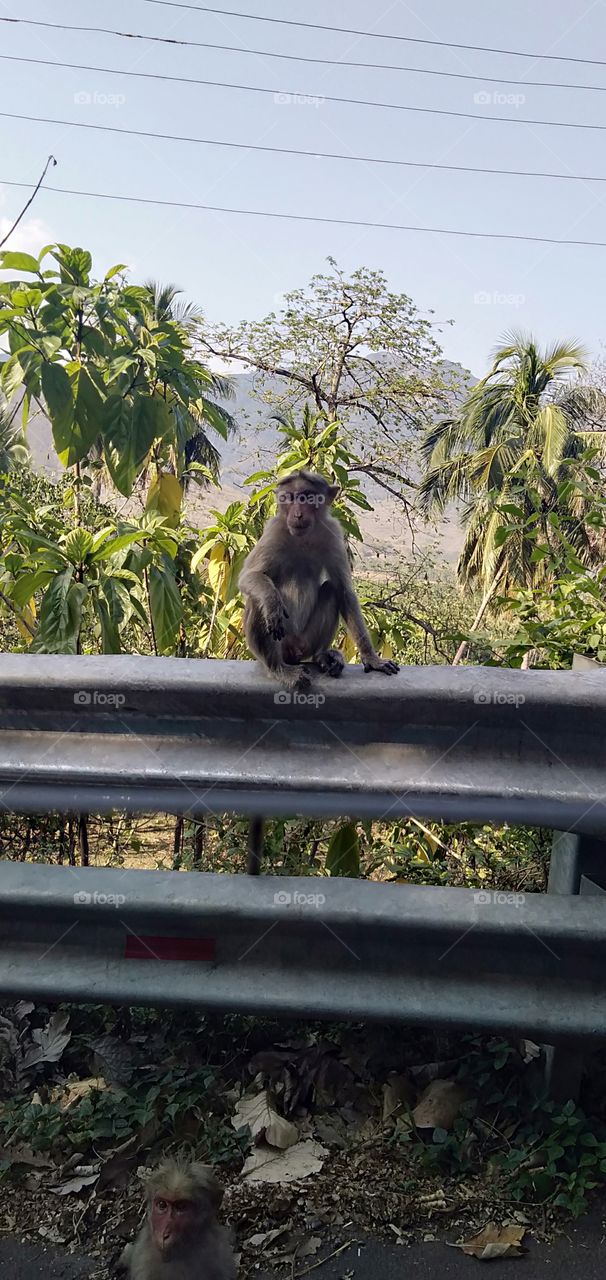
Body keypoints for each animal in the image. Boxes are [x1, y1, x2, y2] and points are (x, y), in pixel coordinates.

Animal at [239, 469, 399, 690]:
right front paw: (272, 604)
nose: (297, 514)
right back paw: (279, 668)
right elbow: (249, 576)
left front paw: (371, 658)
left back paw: (321, 656)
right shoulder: (273, 530)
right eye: (289, 497)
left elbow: (343, 590)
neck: (302, 537)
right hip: (282, 643)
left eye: (307, 497)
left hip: (306, 640)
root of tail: (293, 651)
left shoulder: (332, 532)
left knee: (331, 590)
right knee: (256, 600)